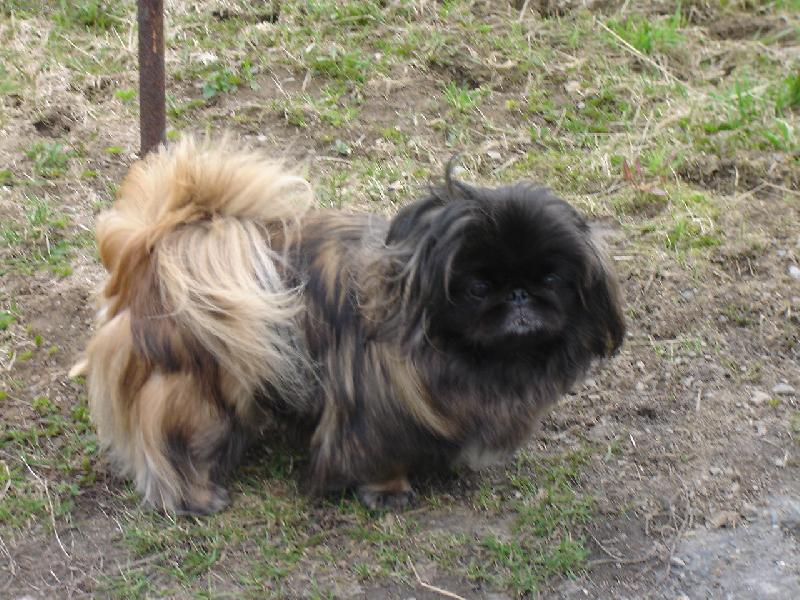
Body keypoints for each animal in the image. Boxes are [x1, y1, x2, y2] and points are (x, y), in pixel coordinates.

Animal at [72, 137, 625, 513]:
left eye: (550, 278)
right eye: (478, 286)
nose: (519, 293)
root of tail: (152, 256)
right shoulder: (372, 409)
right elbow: (379, 456)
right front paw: (389, 492)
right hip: (197, 394)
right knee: (176, 446)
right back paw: (197, 497)